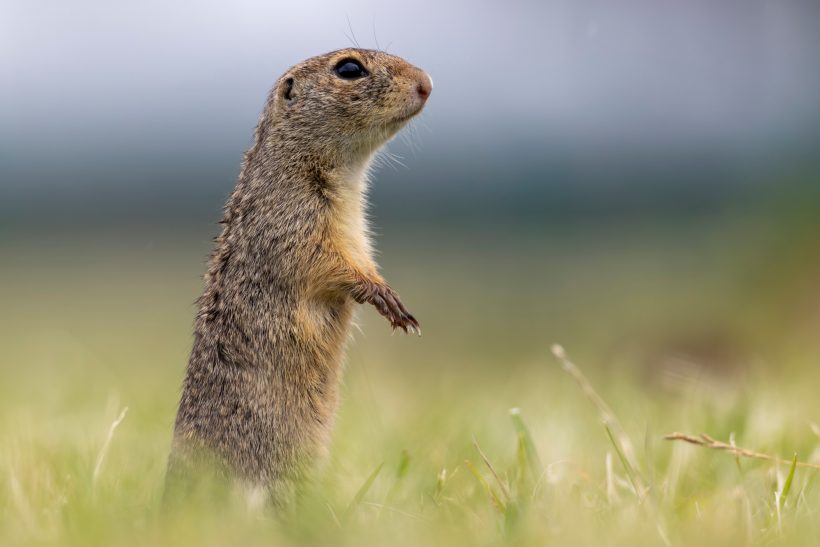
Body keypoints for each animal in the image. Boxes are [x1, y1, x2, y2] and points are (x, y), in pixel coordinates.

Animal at [167, 49, 436, 504]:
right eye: (349, 69)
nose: (427, 84)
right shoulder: (293, 221)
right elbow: (326, 264)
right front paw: (383, 297)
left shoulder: (358, 235)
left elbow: (362, 259)